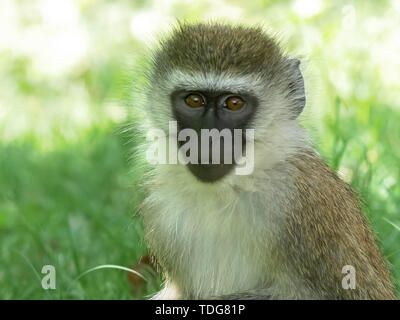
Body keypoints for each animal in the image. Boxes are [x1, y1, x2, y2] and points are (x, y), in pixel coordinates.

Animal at [136, 23, 396, 300]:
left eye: (234, 103)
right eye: (194, 100)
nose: (208, 138)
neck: (233, 188)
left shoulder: (307, 204)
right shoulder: (162, 212)